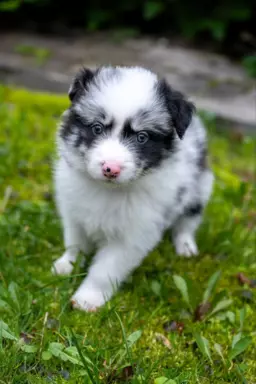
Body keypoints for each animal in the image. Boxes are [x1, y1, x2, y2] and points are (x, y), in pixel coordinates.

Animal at [52, 66, 214, 312]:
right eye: (97, 128)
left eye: (142, 137)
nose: (111, 168)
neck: (108, 191)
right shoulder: (73, 213)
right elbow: (75, 243)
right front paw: (66, 265)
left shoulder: (133, 236)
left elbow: (104, 270)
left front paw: (88, 298)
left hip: (199, 188)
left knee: (188, 221)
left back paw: (185, 246)